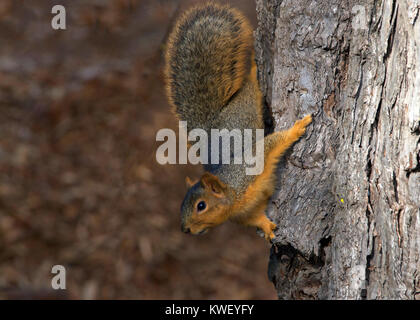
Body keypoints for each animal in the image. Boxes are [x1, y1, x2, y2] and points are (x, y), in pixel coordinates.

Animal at [164, 1, 312, 240]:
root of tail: (212, 123)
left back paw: (253, 68)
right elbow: (257, 218)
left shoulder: (250, 166)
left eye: (201, 206)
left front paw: (296, 129)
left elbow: (271, 144)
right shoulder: (247, 212)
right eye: (181, 206)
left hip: (248, 101)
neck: (233, 195)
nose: (185, 229)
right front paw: (267, 228)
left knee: (249, 84)